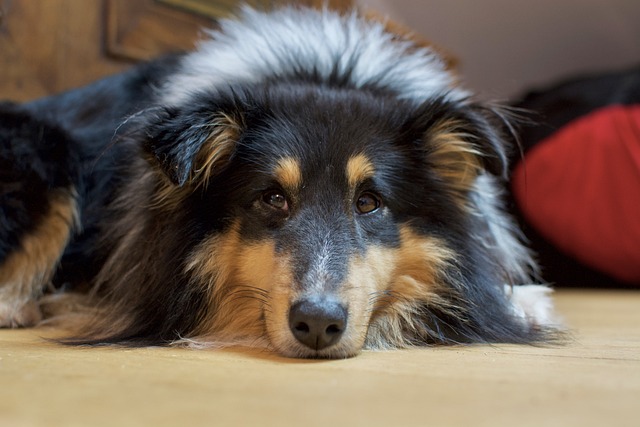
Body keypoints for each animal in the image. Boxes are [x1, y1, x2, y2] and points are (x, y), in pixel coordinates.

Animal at [0, 7, 560, 362]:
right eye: (271, 198)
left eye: (370, 202)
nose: (317, 325)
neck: (324, 74)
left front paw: (523, 301)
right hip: (46, 155)